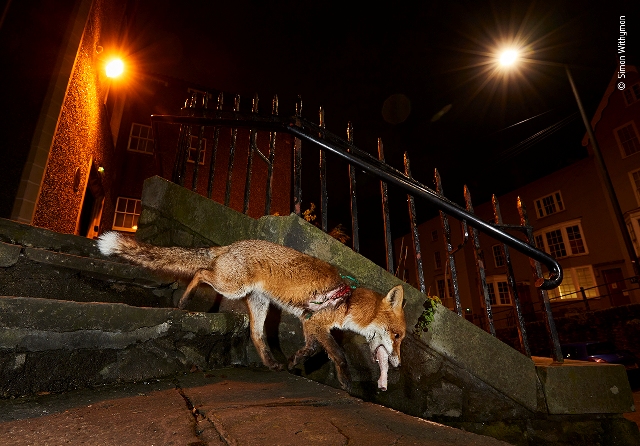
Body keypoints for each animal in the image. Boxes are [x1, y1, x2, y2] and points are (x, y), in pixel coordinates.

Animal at [96, 233, 404, 390]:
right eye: (398, 336)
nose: (399, 365)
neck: (347, 302)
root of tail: (229, 245)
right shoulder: (317, 323)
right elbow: (338, 354)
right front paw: (345, 381)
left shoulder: (309, 323)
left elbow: (313, 349)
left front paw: (294, 360)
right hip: (232, 287)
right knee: (200, 271)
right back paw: (185, 300)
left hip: (258, 303)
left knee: (257, 336)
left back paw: (270, 363)